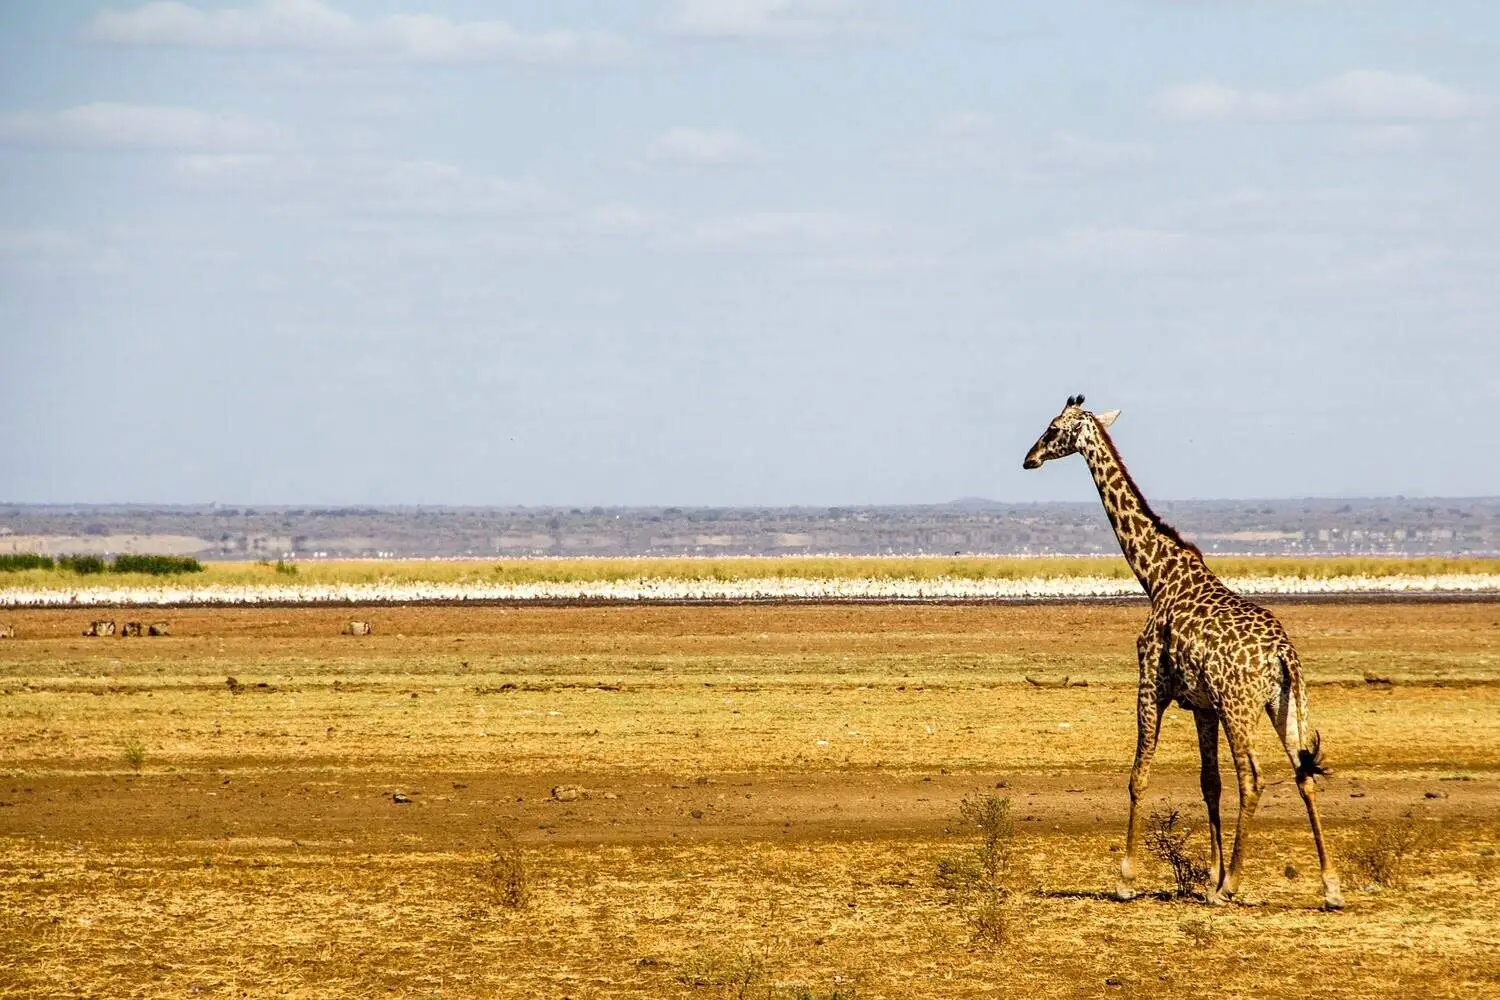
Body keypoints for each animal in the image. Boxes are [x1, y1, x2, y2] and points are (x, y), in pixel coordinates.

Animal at [1026, 395, 1344, 911]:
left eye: (1053, 428)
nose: (1028, 458)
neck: (1156, 575)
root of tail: (1282, 655)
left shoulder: (1151, 686)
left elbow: (1138, 776)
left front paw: (1127, 879)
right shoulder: (1202, 706)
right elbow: (1208, 784)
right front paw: (1210, 876)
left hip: (1240, 707)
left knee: (1253, 779)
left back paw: (1234, 887)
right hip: (1284, 705)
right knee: (1304, 774)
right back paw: (1330, 888)